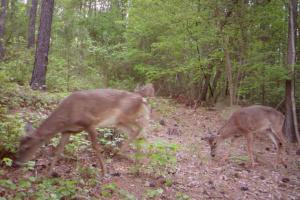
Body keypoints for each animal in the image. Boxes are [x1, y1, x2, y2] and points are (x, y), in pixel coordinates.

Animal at [12, 88, 151, 176]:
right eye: (18, 145)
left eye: (26, 147)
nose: (15, 164)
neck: (67, 117)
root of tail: (142, 99)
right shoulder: (67, 131)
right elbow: (58, 151)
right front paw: (48, 174)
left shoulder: (90, 123)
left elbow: (96, 147)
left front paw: (104, 172)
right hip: (119, 122)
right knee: (136, 132)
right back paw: (135, 159)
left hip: (125, 116)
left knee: (141, 128)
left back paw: (122, 153)